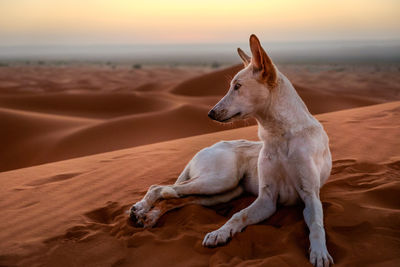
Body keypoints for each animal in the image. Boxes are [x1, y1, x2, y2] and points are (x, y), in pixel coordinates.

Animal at [130, 34, 332, 266]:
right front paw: (220, 232)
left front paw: (319, 252)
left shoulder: (309, 196)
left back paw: (149, 216)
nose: (210, 113)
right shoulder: (267, 198)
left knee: (174, 198)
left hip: (223, 191)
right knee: (159, 187)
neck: (281, 135)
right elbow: (238, 215)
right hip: (220, 180)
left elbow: (316, 225)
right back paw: (140, 208)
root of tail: (209, 146)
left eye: (237, 86)